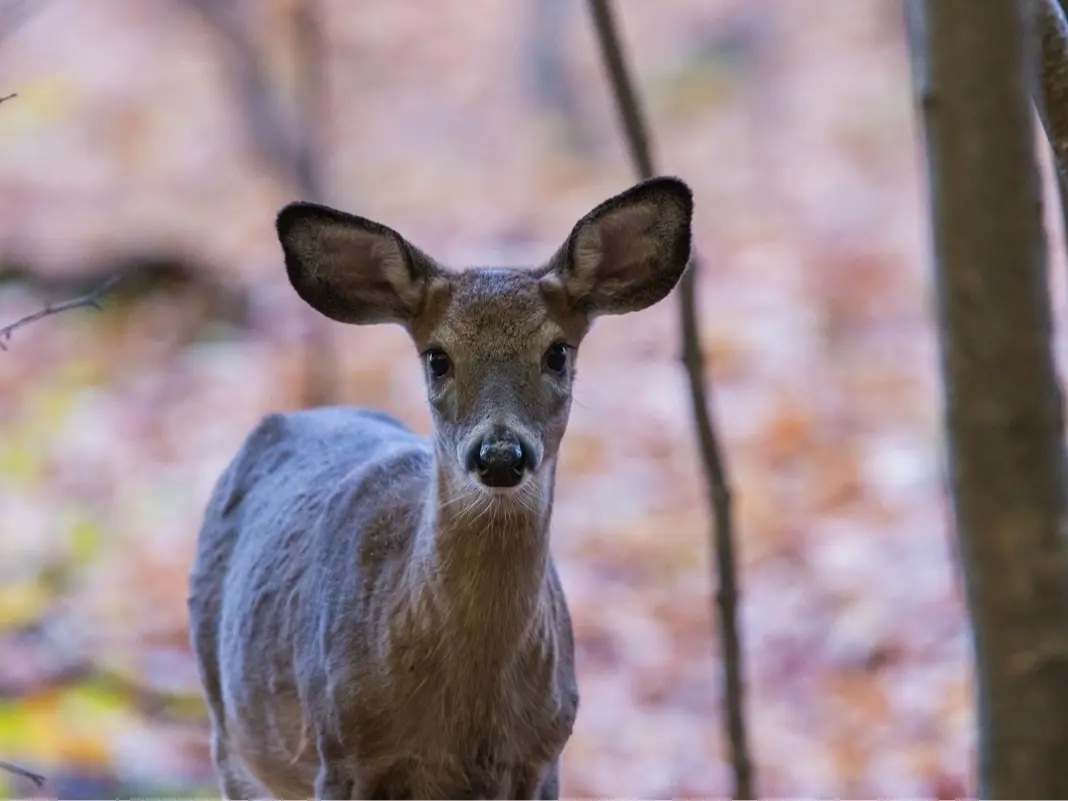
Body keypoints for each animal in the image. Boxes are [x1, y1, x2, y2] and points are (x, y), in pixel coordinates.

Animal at [187, 176, 694, 799]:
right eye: (437, 358)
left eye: (557, 352)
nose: (500, 454)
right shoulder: (341, 752)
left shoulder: (545, 753)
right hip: (231, 735)